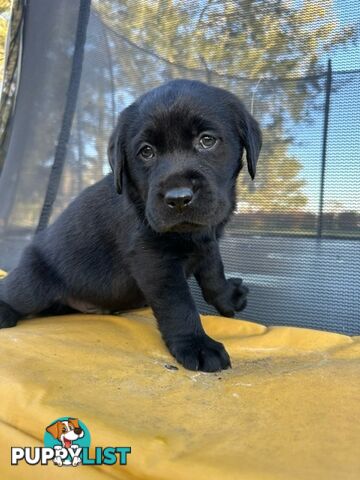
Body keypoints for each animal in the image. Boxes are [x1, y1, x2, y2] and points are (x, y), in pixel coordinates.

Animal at [0, 79, 262, 372]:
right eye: (146, 151)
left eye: (207, 140)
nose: (178, 198)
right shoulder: (155, 261)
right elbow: (179, 304)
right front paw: (197, 344)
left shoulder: (207, 242)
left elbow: (214, 273)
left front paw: (228, 297)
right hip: (33, 281)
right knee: (14, 291)